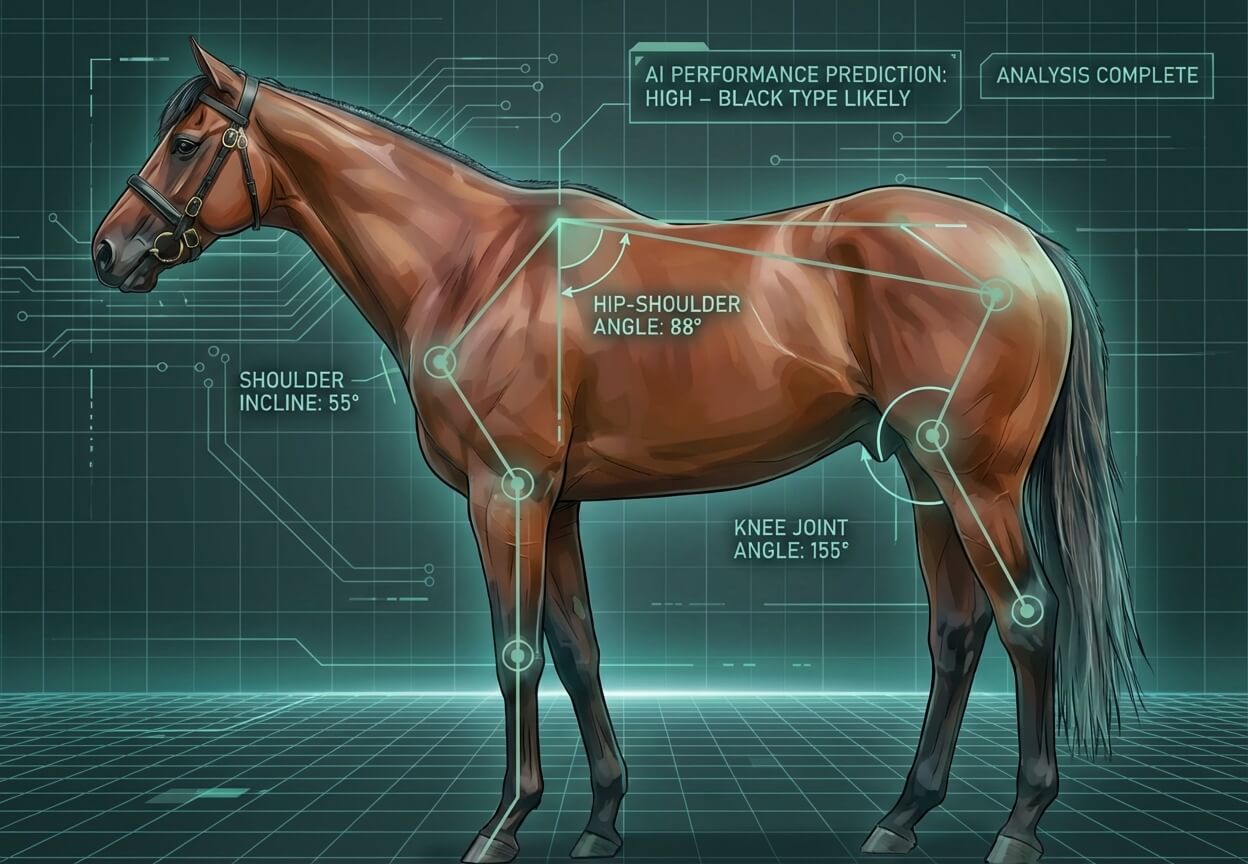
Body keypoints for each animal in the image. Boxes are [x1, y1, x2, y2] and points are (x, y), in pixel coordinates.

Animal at [93, 39, 1142, 864]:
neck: (469, 264)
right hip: (926, 478)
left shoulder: (505, 492)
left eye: (185, 142)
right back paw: (902, 817)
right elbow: (577, 650)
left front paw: (503, 825)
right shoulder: (555, 502)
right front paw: (600, 820)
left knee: (1028, 621)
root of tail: (1025, 247)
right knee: (957, 633)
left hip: (978, 480)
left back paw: (1019, 826)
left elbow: (517, 653)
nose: (111, 251)